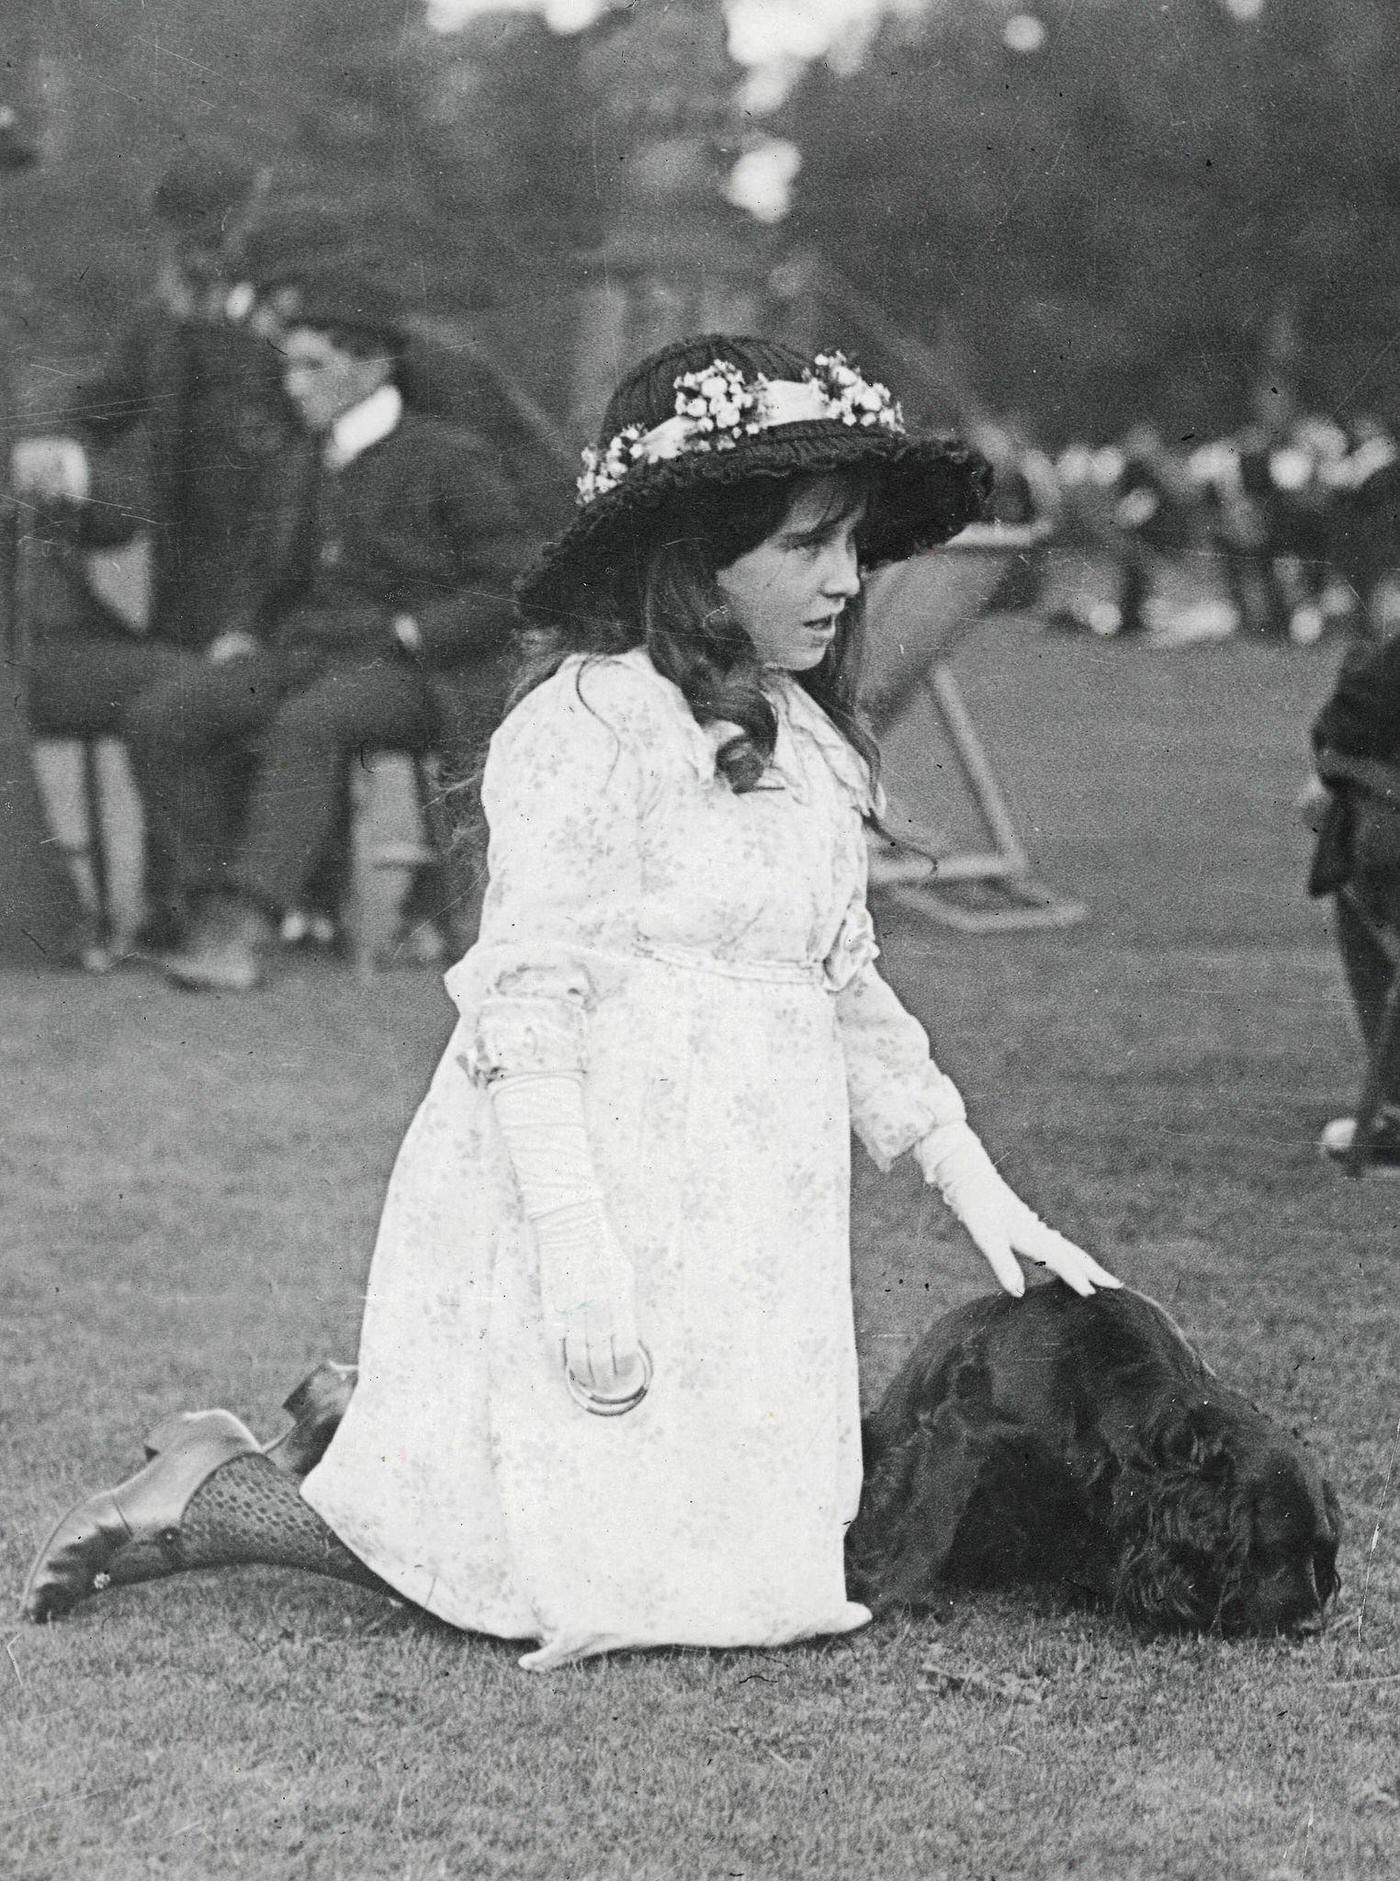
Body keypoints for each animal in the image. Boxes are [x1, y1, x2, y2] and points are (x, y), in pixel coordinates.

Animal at [843, 1279, 1347, 1632]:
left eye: (1321, 1549)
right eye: (1274, 1548)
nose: (1311, 1627)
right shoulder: (961, 1430)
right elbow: (930, 1523)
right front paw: (889, 1594)